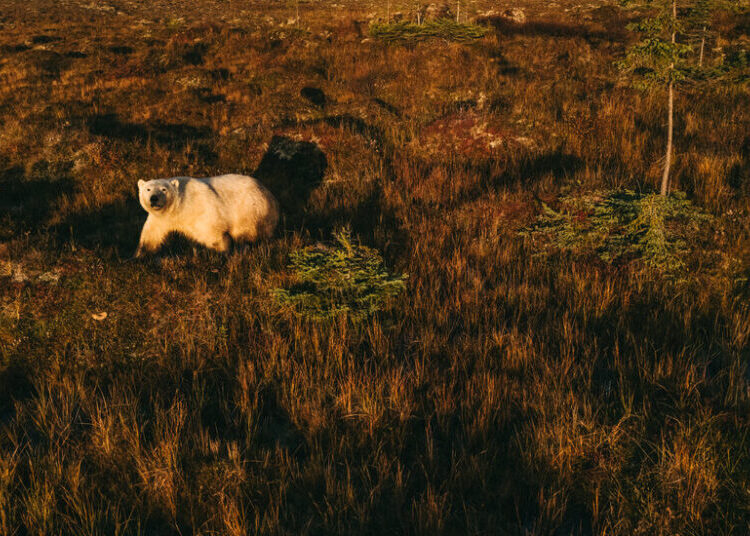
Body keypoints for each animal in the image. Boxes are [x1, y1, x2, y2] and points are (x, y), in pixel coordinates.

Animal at [135, 174, 278, 257]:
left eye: (164, 189)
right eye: (148, 189)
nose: (154, 198)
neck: (177, 209)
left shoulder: (199, 208)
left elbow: (211, 232)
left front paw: (223, 250)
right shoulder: (161, 219)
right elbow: (151, 236)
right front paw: (139, 256)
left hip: (249, 208)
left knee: (247, 232)